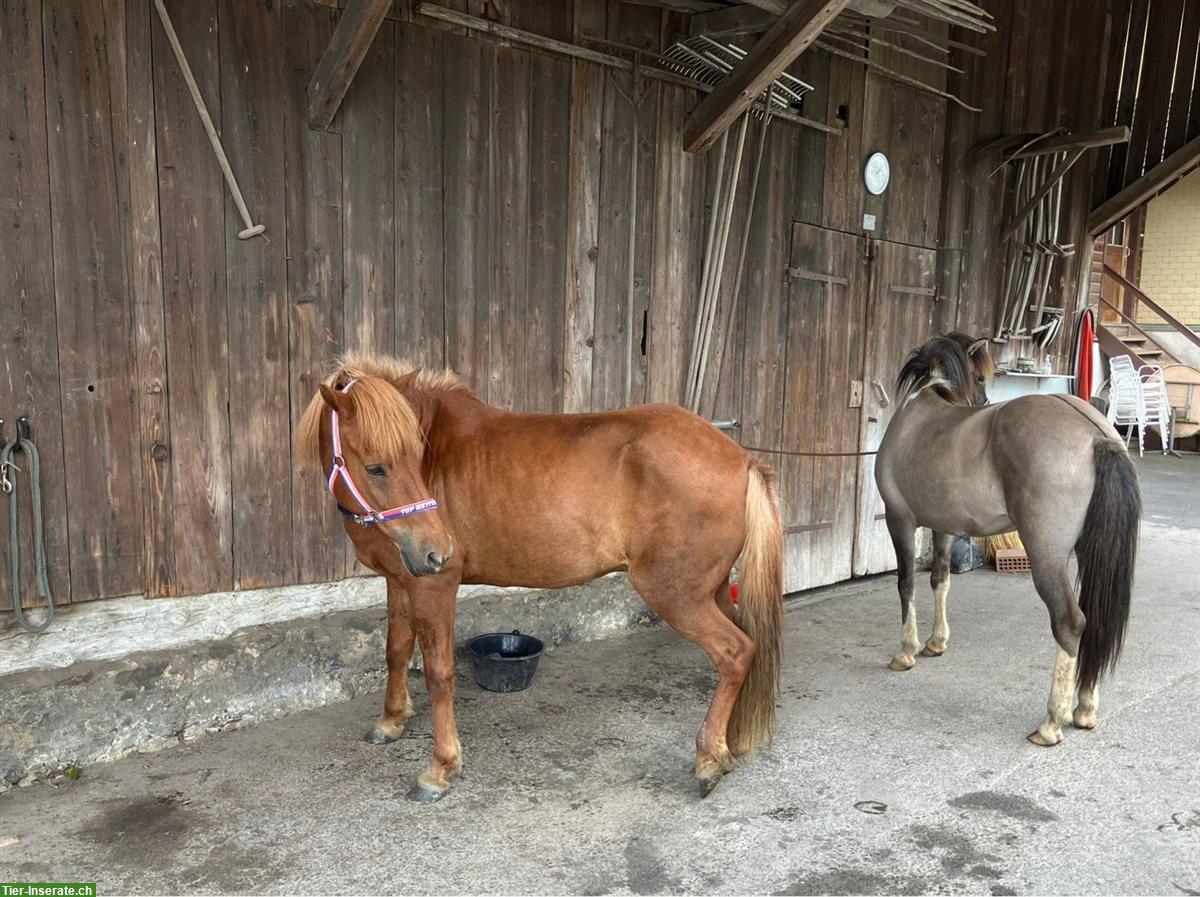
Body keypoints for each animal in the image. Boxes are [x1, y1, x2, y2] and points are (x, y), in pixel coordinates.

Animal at [297, 354, 787, 801]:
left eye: (416, 457)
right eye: (377, 467)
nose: (438, 548)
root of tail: (740, 459)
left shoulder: (434, 585)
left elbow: (438, 673)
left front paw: (439, 768)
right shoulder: (401, 580)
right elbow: (396, 651)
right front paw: (391, 721)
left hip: (677, 595)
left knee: (736, 652)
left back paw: (708, 759)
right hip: (712, 591)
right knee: (747, 645)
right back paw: (728, 744)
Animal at [873, 333, 1142, 748]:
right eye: (980, 378)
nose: (980, 403)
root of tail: (1097, 436)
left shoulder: (898, 520)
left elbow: (906, 585)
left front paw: (906, 652)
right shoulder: (943, 527)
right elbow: (940, 580)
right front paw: (936, 642)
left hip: (1047, 556)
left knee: (1070, 622)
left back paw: (1051, 724)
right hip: (1088, 550)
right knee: (1093, 619)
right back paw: (1083, 710)